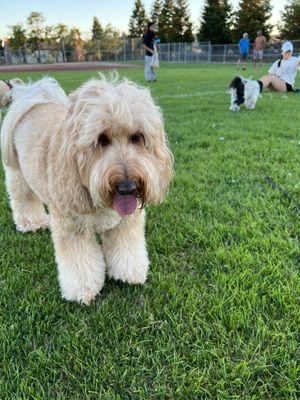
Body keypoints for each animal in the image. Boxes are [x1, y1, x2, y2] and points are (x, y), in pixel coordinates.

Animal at [0, 76, 173, 304]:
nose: (128, 187)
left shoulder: (125, 222)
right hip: (17, 175)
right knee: (23, 200)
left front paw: (128, 274)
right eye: (101, 139)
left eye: (137, 137)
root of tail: (32, 96)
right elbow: (80, 264)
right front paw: (82, 291)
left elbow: (126, 247)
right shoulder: (72, 228)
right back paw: (32, 223)